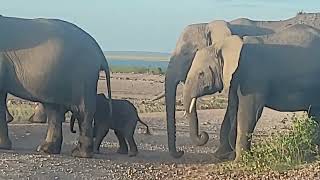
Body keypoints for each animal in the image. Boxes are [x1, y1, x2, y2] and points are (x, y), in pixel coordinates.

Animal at [0, 16, 112, 158]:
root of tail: (100, 53)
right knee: (54, 109)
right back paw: (46, 149)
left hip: (83, 74)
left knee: (82, 109)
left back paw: (79, 153)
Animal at [164, 12, 320, 158]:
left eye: (186, 53)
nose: (181, 152)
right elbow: (233, 108)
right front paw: (222, 155)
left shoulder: (253, 75)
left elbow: (249, 111)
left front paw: (239, 158)